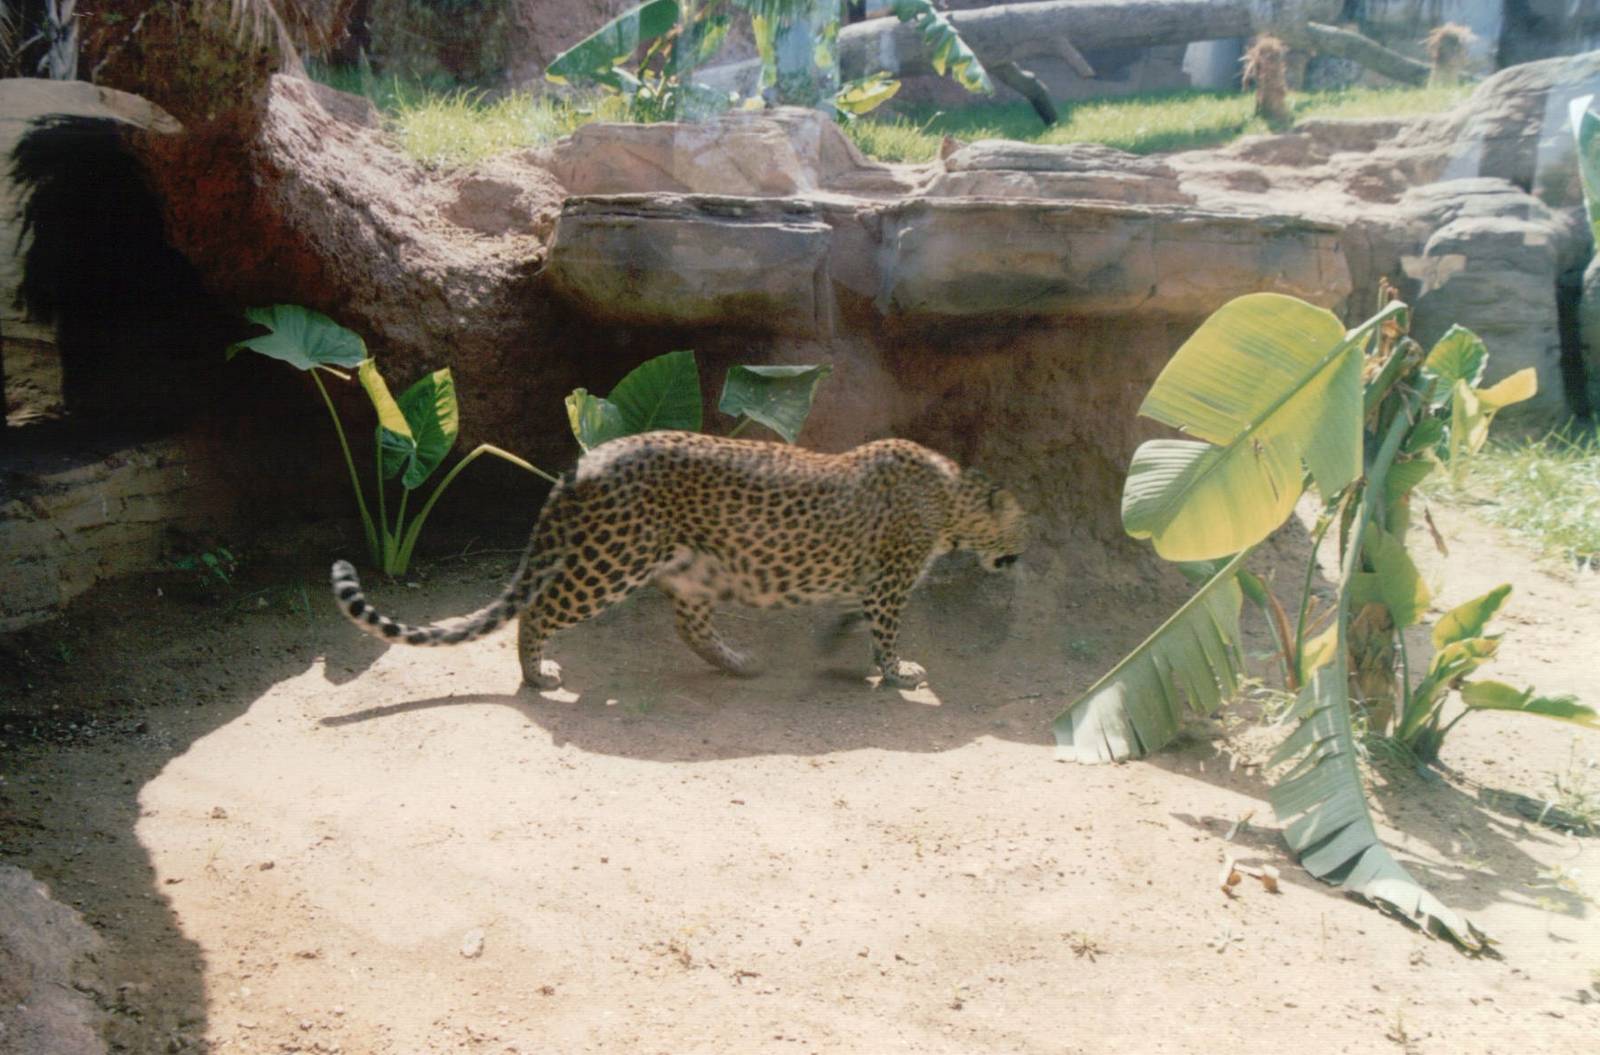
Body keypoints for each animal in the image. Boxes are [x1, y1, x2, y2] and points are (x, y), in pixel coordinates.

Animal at [330, 431, 1026, 690]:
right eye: (1025, 522)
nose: (1026, 557)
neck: (952, 500)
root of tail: (584, 462)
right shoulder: (891, 579)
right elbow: (884, 630)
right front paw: (899, 672)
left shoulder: (872, 580)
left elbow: (852, 618)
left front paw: (835, 648)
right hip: (610, 561)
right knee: (539, 611)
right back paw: (537, 674)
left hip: (692, 567)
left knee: (688, 627)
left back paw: (739, 663)